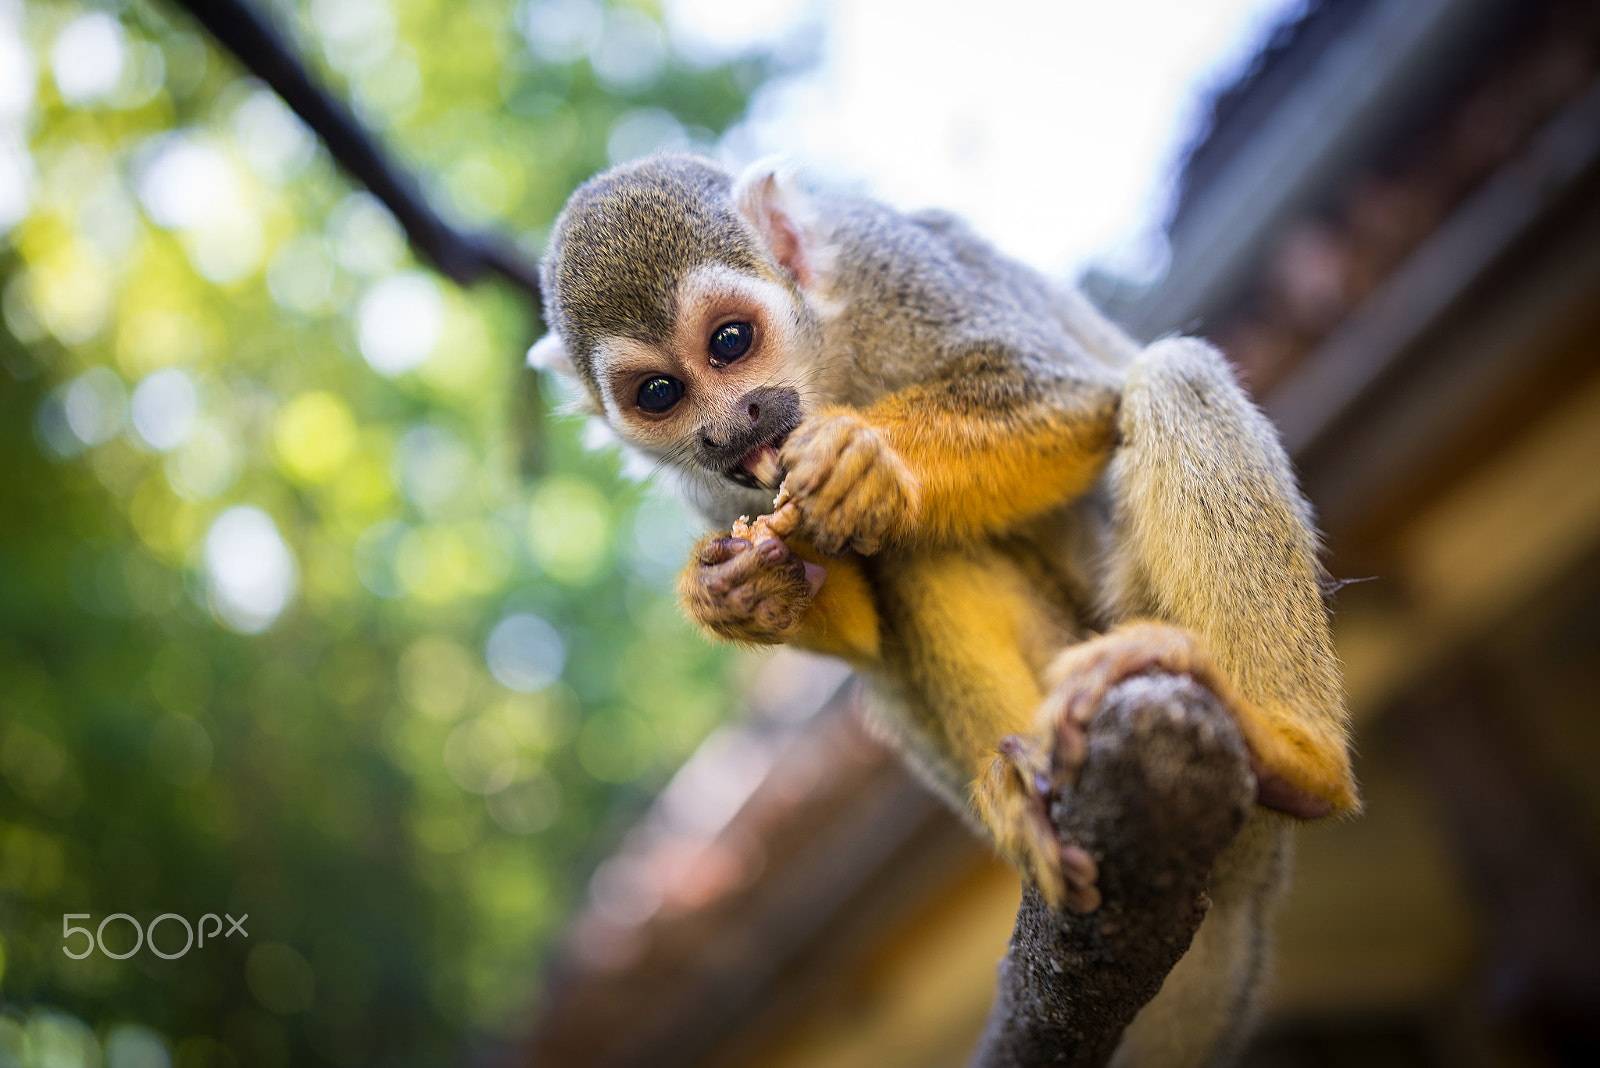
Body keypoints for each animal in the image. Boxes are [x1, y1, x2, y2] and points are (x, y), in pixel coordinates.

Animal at [529, 154, 1358, 1066]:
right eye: (660, 393)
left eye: (731, 342)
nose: (725, 427)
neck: (825, 364)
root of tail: (1242, 903)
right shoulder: (710, 487)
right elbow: (856, 627)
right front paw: (744, 595)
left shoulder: (890, 266)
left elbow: (1063, 400)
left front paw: (871, 458)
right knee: (911, 565)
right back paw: (1031, 800)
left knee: (1171, 374)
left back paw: (1294, 753)